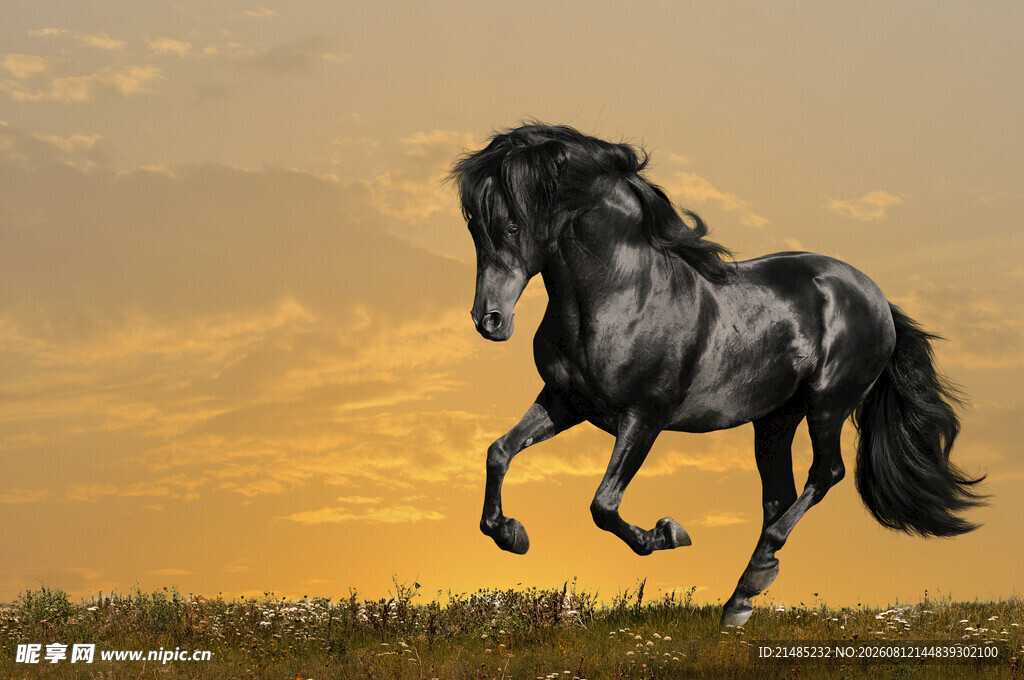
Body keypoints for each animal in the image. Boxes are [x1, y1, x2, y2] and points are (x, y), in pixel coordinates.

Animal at [448, 123, 984, 627]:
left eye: (512, 225)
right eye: (473, 226)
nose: (489, 321)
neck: (621, 294)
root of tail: (876, 298)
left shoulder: (644, 417)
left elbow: (604, 505)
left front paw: (667, 533)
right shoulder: (566, 402)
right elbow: (499, 452)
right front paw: (512, 534)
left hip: (827, 405)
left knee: (825, 474)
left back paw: (752, 579)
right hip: (774, 420)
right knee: (779, 496)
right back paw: (741, 599)